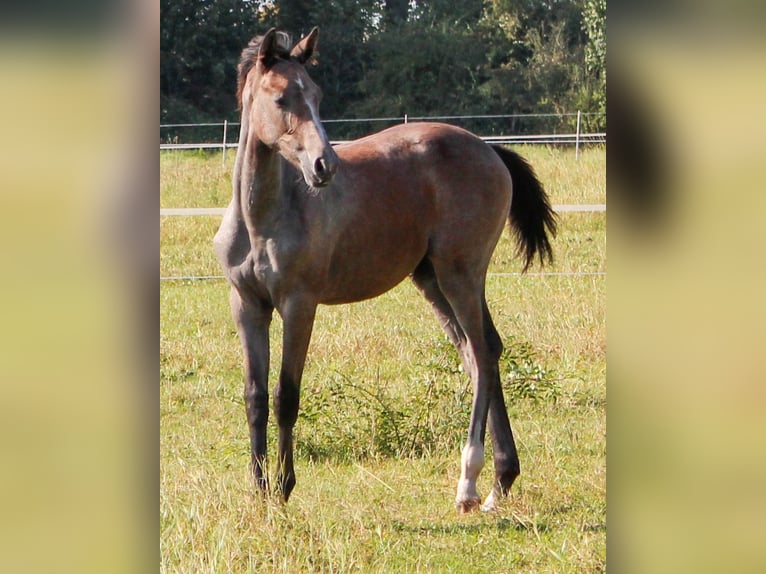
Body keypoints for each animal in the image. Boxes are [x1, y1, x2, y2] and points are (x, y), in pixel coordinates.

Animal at [213, 27, 556, 516]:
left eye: (316, 94)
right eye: (280, 98)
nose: (324, 166)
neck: (263, 218)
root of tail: (489, 150)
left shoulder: (299, 305)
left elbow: (286, 395)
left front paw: (284, 487)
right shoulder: (247, 305)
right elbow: (255, 397)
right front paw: (258, 490)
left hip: (460, 273)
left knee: (484, 353)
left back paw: (469, 483)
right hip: (431, 279)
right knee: (477, 353)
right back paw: (500, 482)